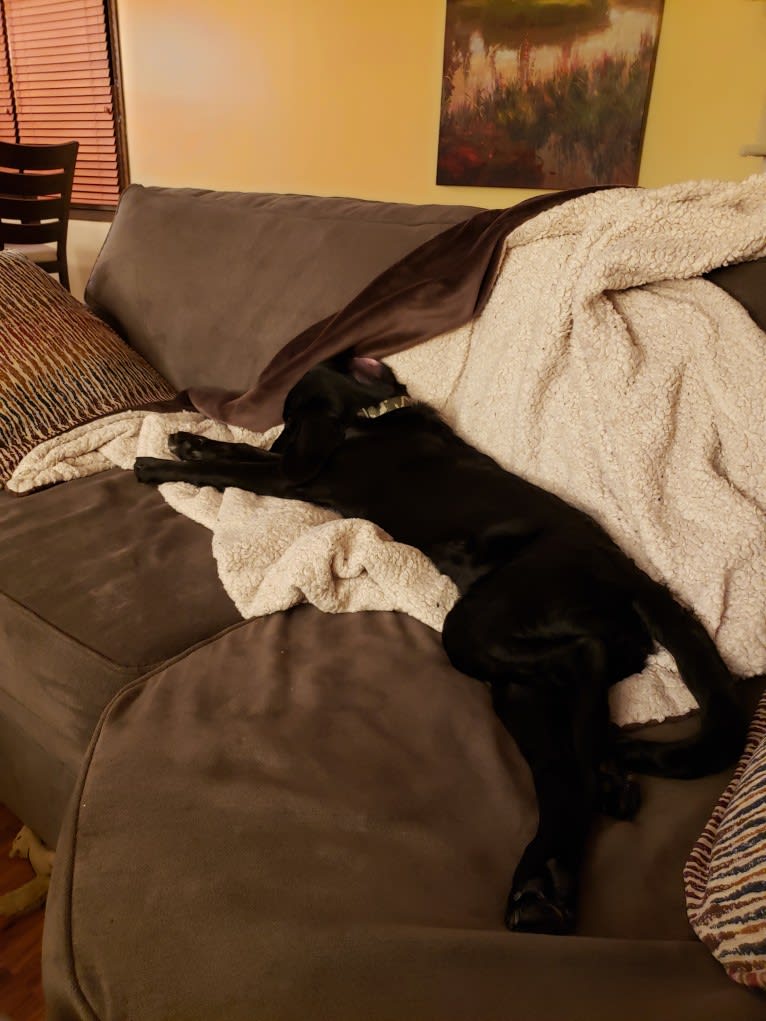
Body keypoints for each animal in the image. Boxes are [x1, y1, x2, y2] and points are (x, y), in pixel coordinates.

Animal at [134, 355, 747, 935]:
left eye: (291, 416)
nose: (283, 445)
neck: (372, 418)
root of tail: (634, 578)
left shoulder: (300, 479)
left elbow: (235, 469)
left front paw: (163, 465)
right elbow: (242, 456)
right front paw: (189, 440)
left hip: (482, 624)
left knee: (583, 660)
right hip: (519, 689)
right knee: (565, 774)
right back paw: (549, 877)